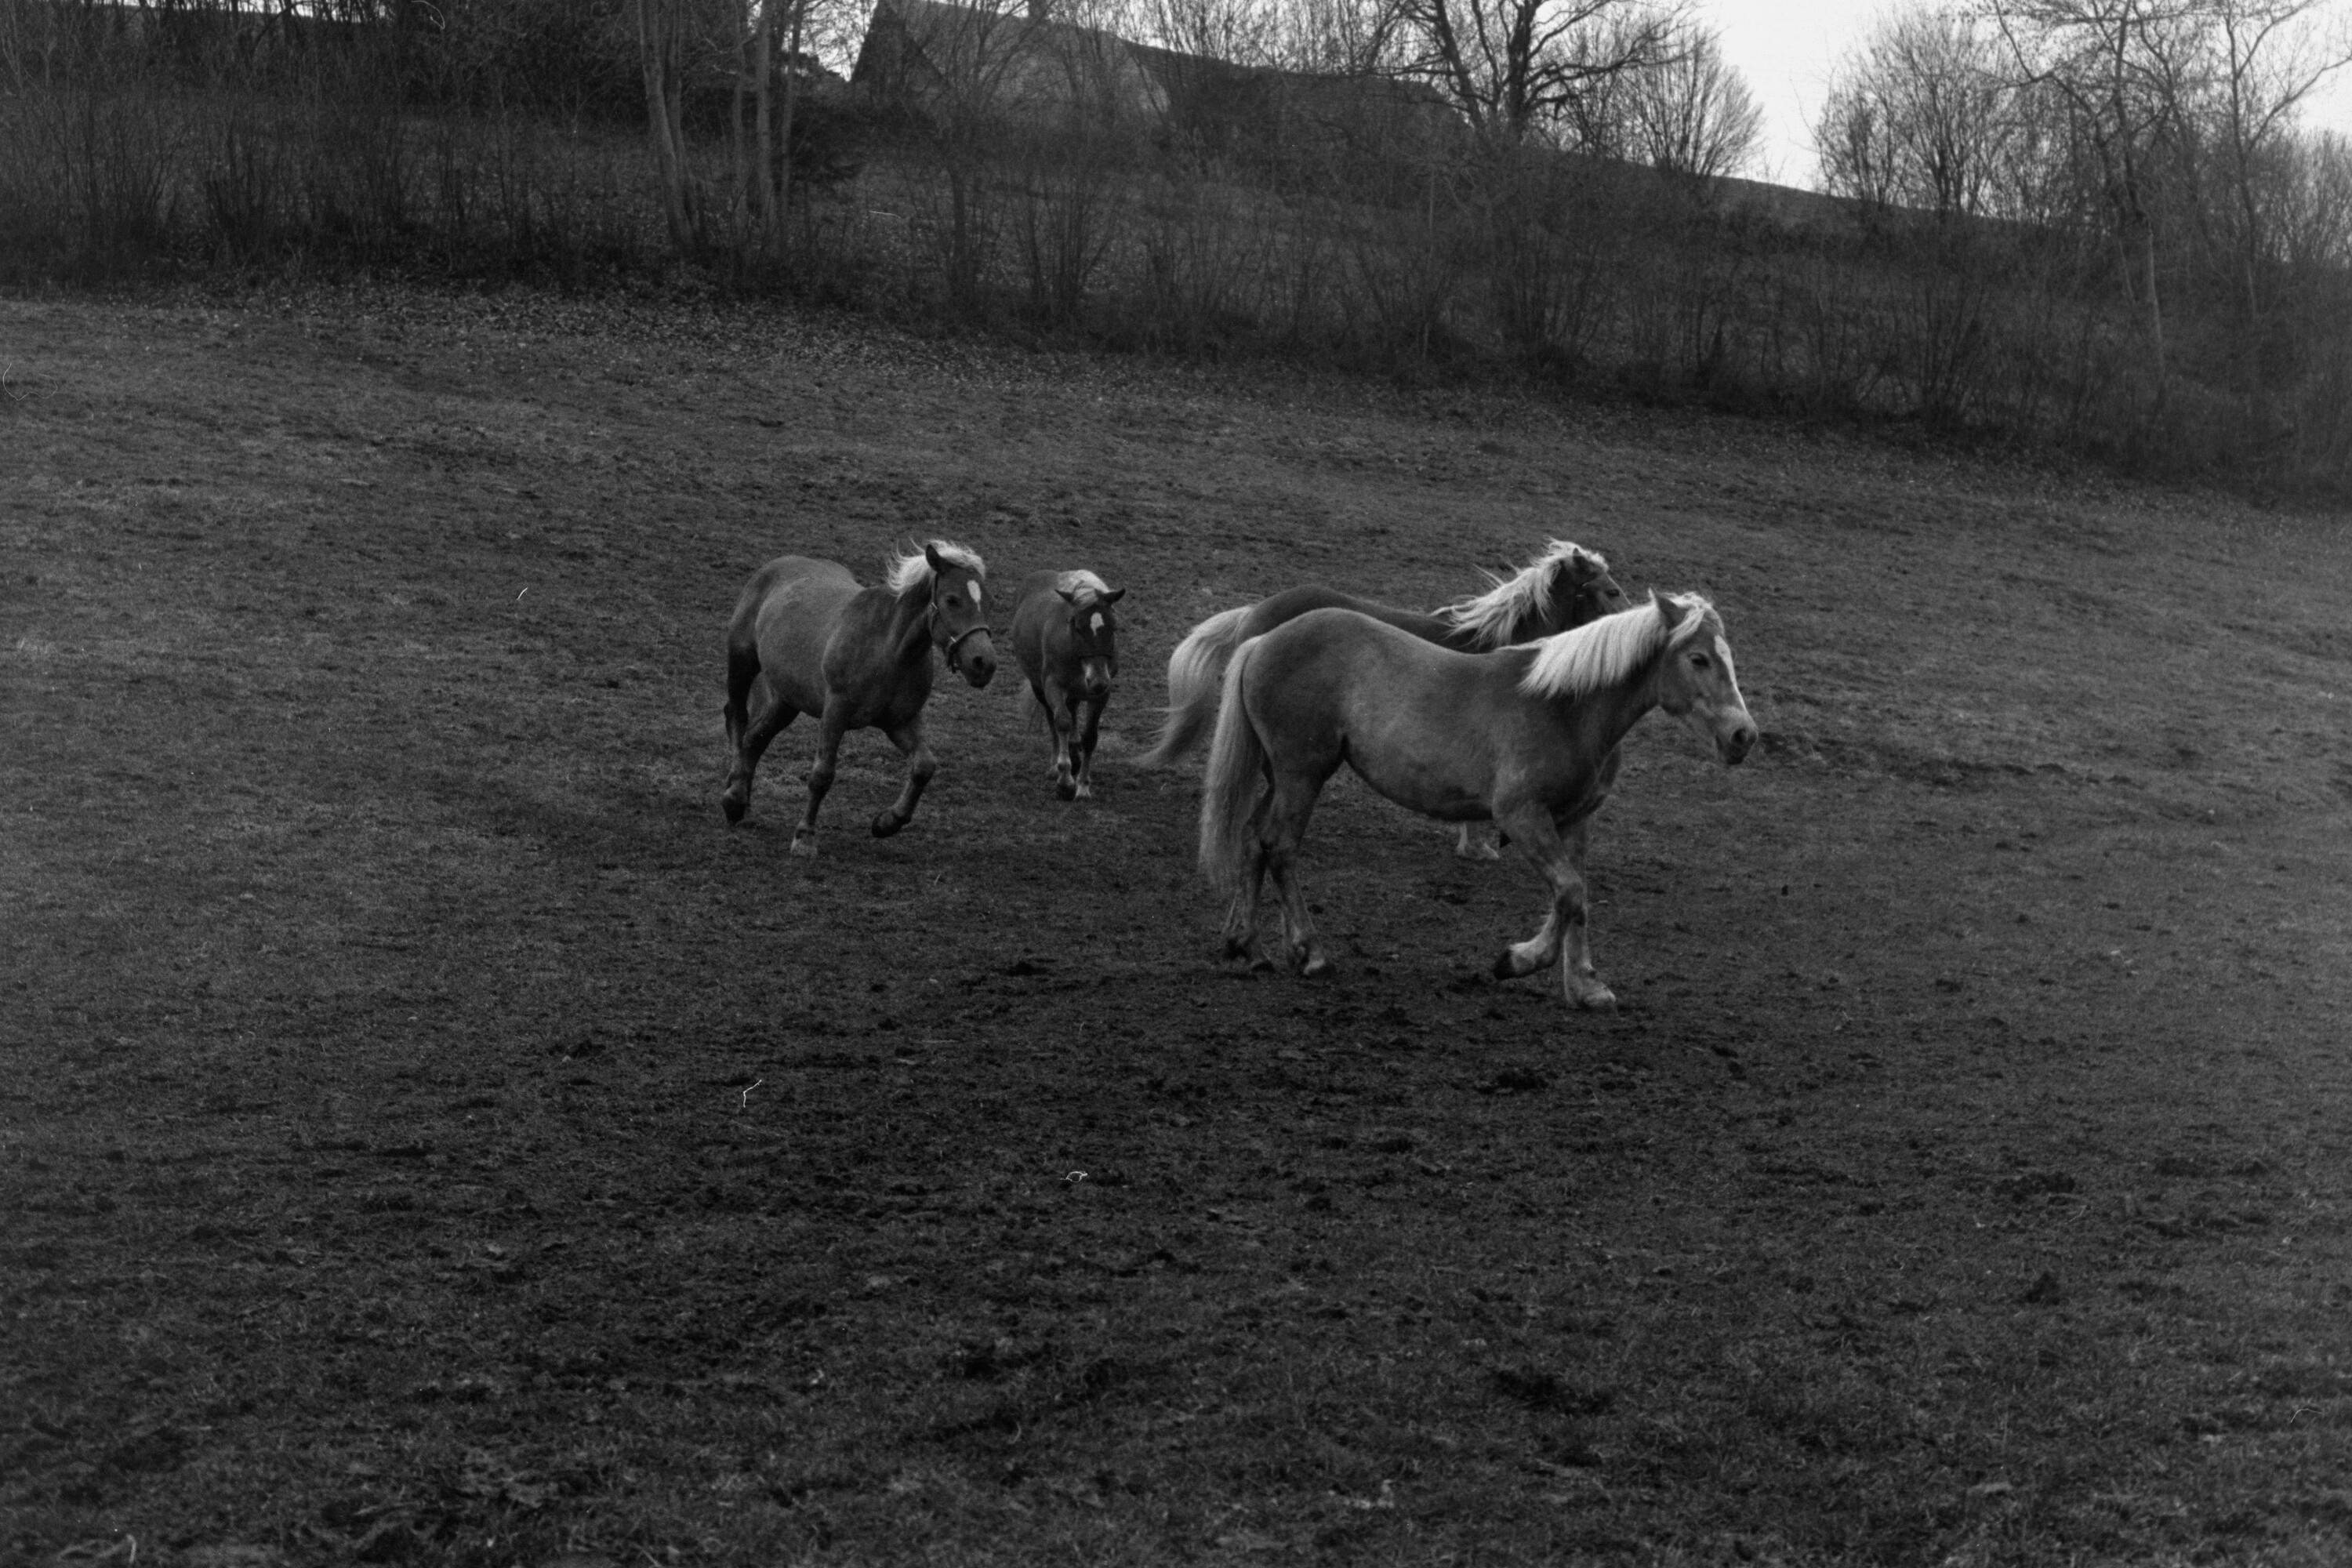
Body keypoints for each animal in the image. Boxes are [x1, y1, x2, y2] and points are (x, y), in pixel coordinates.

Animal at [721, 541, 997, 854]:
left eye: (988, 602)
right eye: (952, 599)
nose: (983, 663)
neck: (887, 650)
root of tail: (772, 568)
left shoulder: (901, 721)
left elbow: (924, 767)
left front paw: (887, 822)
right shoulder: (835, 712)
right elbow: (822, 775)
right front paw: (804, 837)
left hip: (786, 699)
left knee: (756, 739)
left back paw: (743, 803)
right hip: (742, 664)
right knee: (737, 719)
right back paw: (733, 797)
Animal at [1009, 569, 1128, 801]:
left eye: (1113, 627)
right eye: (1078, 627)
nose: (1098, 680)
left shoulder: (1101, 695)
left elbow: (1090, 736)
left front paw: (1083, 785)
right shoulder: (1053, 686)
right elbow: (1061, 722)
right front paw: (1064, 780)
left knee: (1072, 712)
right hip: (1041, 688)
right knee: (1052, 719)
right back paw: (1057, 764)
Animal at [1197, 593, 1756, 1010]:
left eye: (1729, 658)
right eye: (1699, 658)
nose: (1744, 736)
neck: (1567, 708)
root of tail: (1263, 639)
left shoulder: (1575, 822)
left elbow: (1577, 899)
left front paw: (1585, 986)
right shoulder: (1522, 816)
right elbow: (1569, 893)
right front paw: (1518, 961)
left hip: (1281, 776)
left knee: (1253, 839)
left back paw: (1247, 946)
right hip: (1302, 775)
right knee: (1280, 846)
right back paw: (1309, 952)